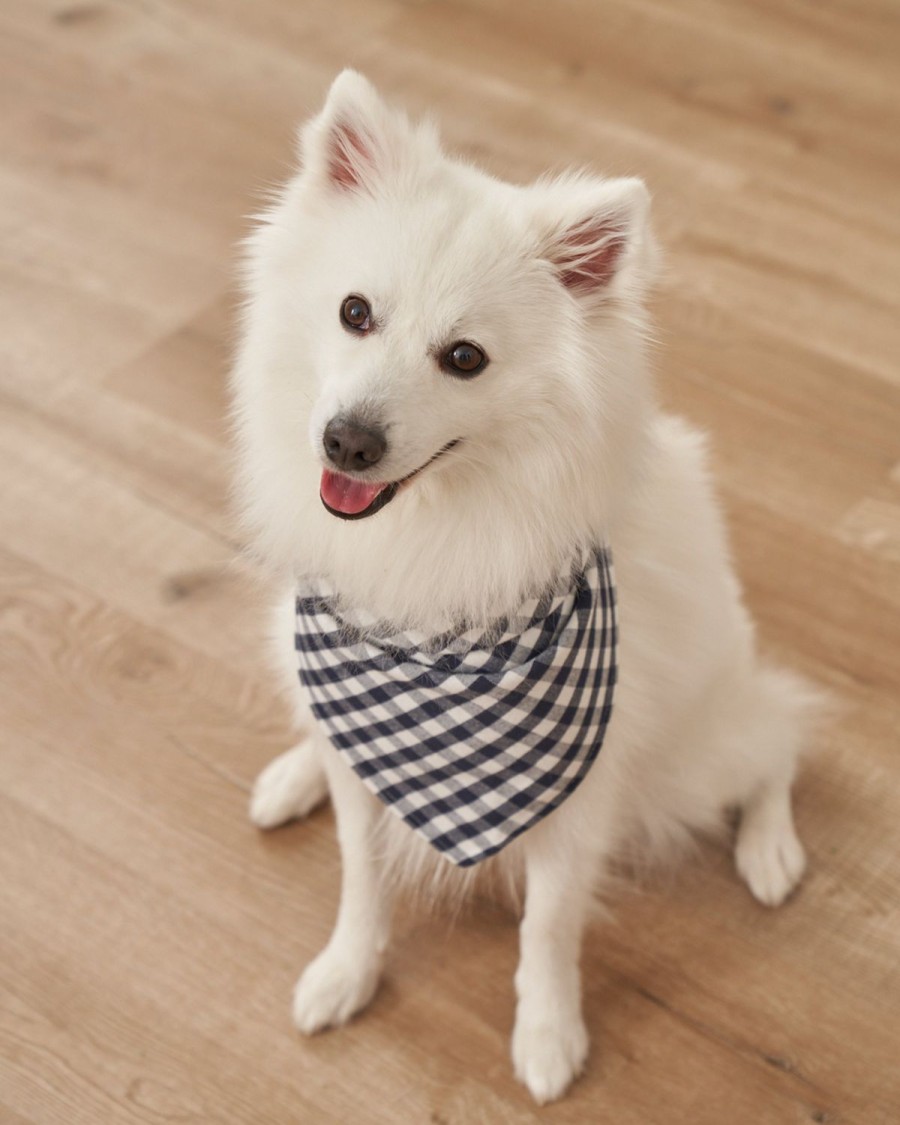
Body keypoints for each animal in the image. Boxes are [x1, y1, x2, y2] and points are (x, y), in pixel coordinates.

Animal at [228, 74, 819, 1102]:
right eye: (355, 312)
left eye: (465, 358)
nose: (347, 441)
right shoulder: (361, 725)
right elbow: (359, 872)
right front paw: (346, 971)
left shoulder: (578, 794)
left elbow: (547, 925)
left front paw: (548, 1036)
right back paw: (295, 770)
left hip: (696, 751)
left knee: (777, 741)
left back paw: (769, 848)